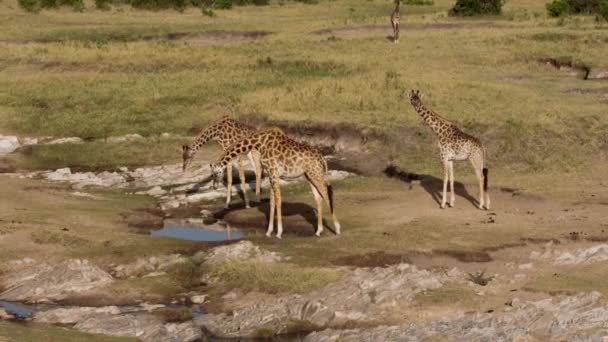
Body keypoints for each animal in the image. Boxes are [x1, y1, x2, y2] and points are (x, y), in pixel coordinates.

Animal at [210, 127, 342, 239]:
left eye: (215, 174)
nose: (214, 186)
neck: (259, 143)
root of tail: (322, 159)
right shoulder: (271, 174)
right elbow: (272, 202)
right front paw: (269, 232)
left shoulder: (273, 172)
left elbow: (278, 200)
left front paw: (279, 232)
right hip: (309, 175)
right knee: (318, 197)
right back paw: (318, 231)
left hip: (316, 174)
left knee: (326, 194)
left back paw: (337, 229)